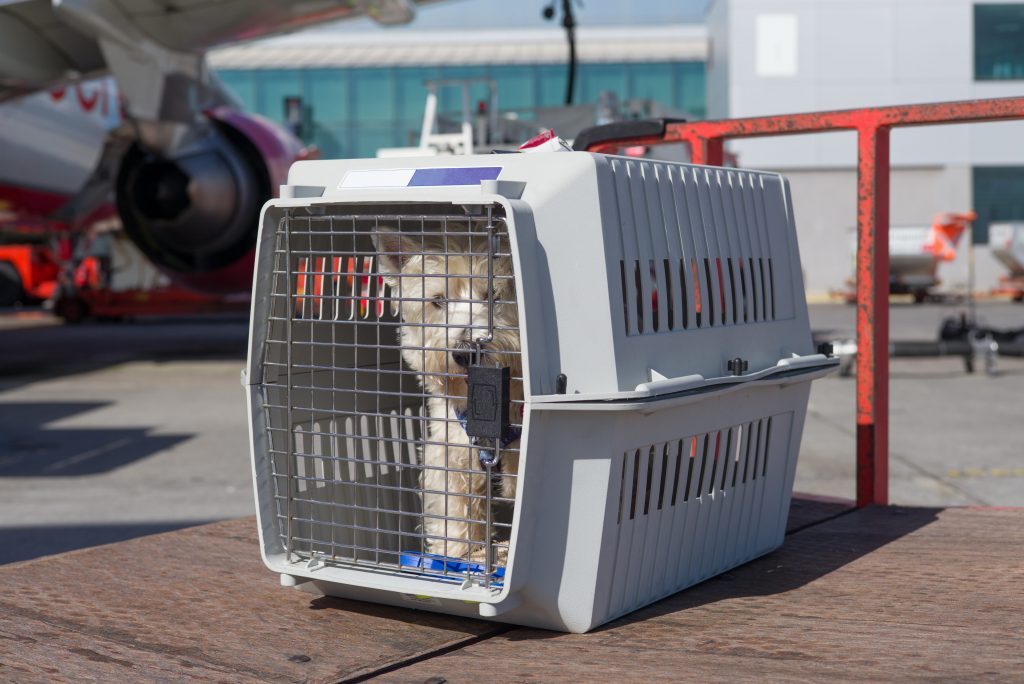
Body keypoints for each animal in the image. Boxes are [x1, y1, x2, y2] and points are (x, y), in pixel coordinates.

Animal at [372, 227, 524, 565]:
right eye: (438, 300)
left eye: (493, 295)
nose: (466, 351)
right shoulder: (451, 452)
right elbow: (455, 511)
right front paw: (460, 554)